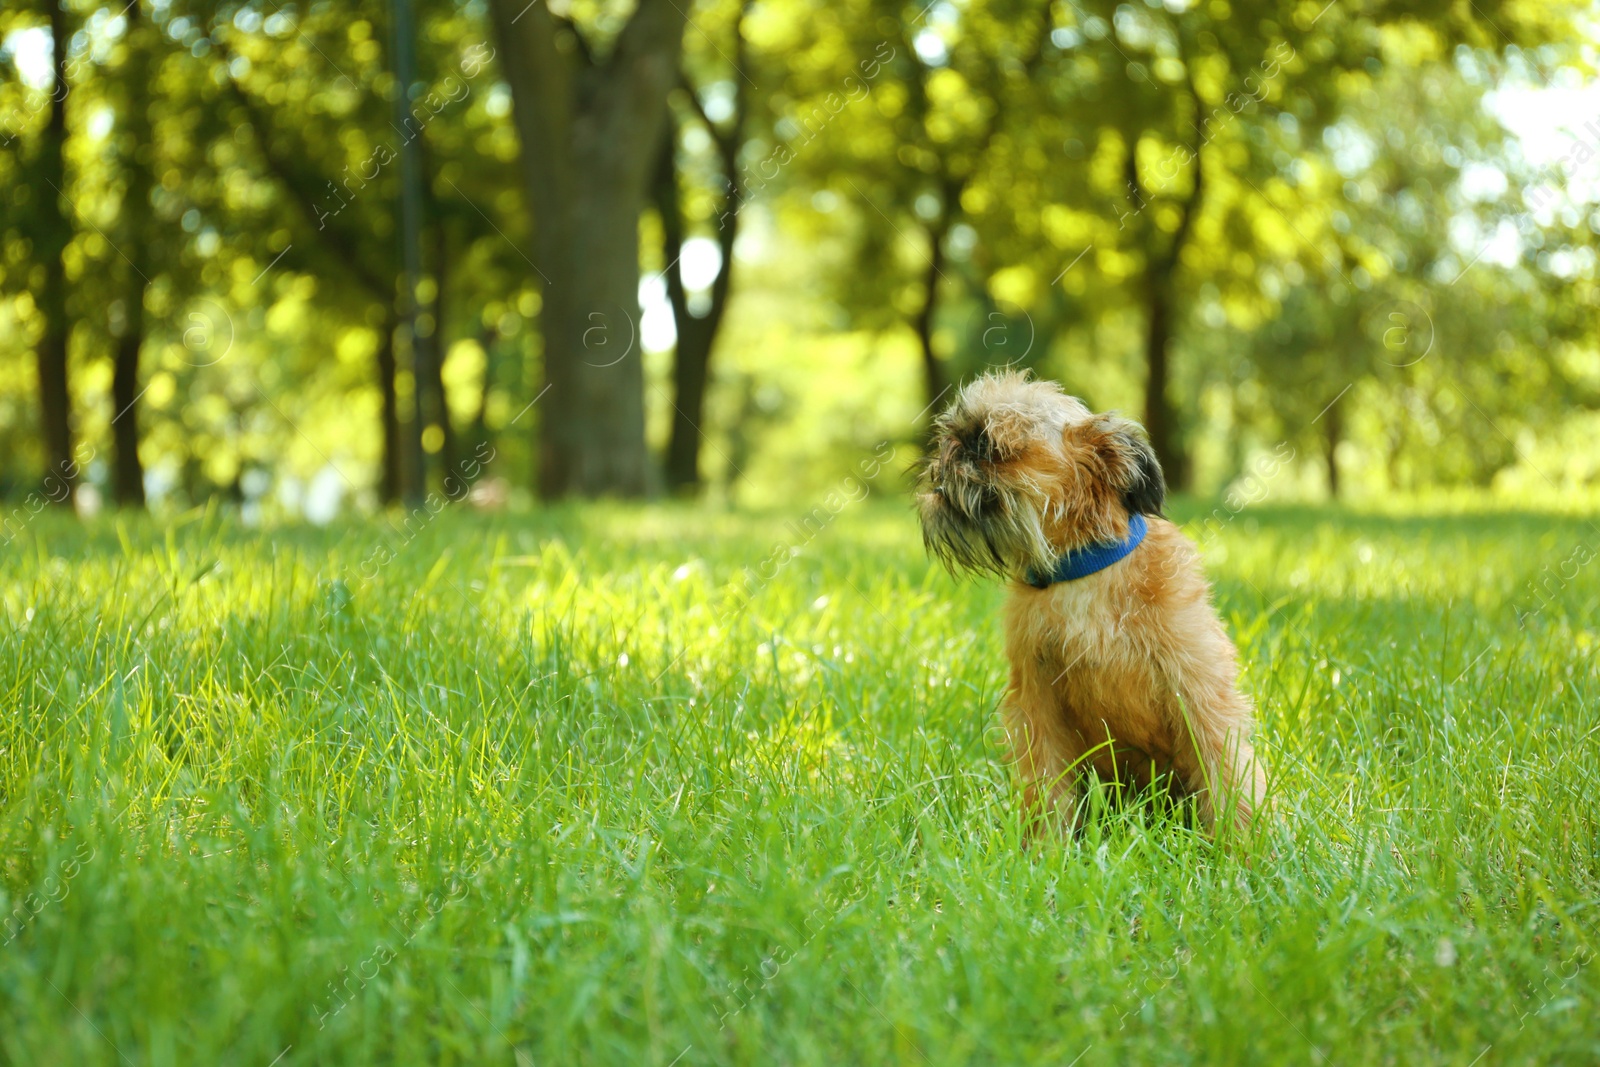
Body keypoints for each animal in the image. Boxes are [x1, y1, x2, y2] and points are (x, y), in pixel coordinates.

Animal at [921, 371, 1267, 838]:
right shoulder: (1038, 705)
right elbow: (1047, 784)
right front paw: (1048, 846)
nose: (949, 450)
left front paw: (1242, 847)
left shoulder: (1197, 690)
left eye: (988, 445)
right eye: (954, 436)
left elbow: (1224, 769)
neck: (1079, 572)